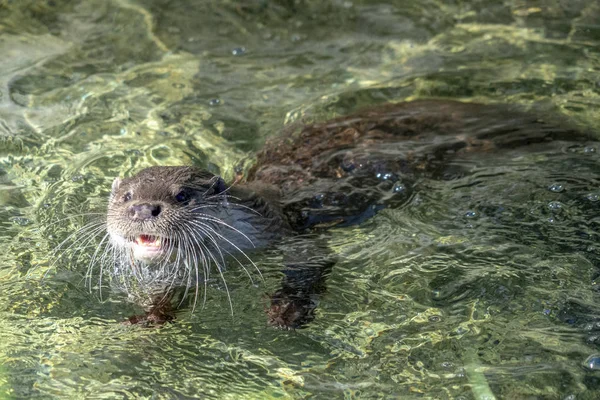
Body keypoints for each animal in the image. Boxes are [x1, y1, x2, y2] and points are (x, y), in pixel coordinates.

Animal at [99, 100, 592, 328]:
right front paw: (151, 315)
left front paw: (286, 311)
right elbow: (171, 294)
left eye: (181, 196)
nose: (143, 208)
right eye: (126, 196)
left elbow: (310, 268)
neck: (247, 240)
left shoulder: (296, 235)